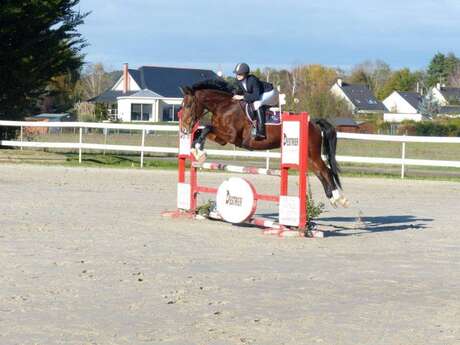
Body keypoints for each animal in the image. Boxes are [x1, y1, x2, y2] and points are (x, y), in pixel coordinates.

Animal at [180, 78, 348, 207]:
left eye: (188, 105)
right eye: (181, 106)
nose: (184, 128)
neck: (224, 106)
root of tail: (312, 122)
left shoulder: (231, 136)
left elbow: (207, 127)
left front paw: (199, 152)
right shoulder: (221, 139)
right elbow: (201, 132)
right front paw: (197, 151)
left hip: (312, 153)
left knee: (325, 170)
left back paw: (340, 199)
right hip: (308, 157)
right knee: (320, 172)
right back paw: (333, 198)